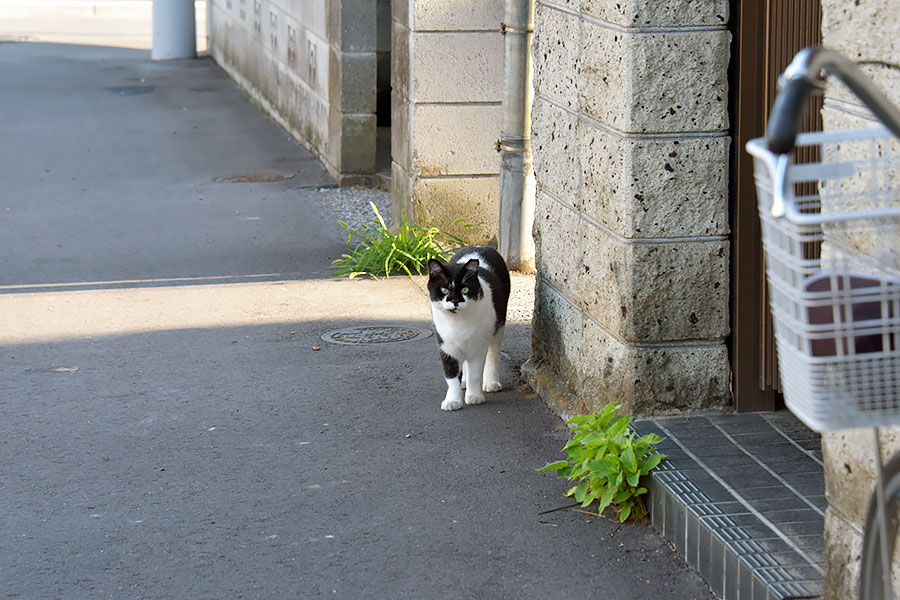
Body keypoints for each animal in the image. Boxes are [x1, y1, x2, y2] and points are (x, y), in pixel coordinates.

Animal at [428, 246, 510, 410]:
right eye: (445, 290)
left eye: (465, 290)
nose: (455, 301)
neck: (458, 322)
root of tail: (479, 246)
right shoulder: (446, 346)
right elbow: (451, 376)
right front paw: (452, 400)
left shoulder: (478, 346)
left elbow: (476, 373)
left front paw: (475, 396)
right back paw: (464, 382)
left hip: (498, 327)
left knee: (492, 354)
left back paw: (491, 382)